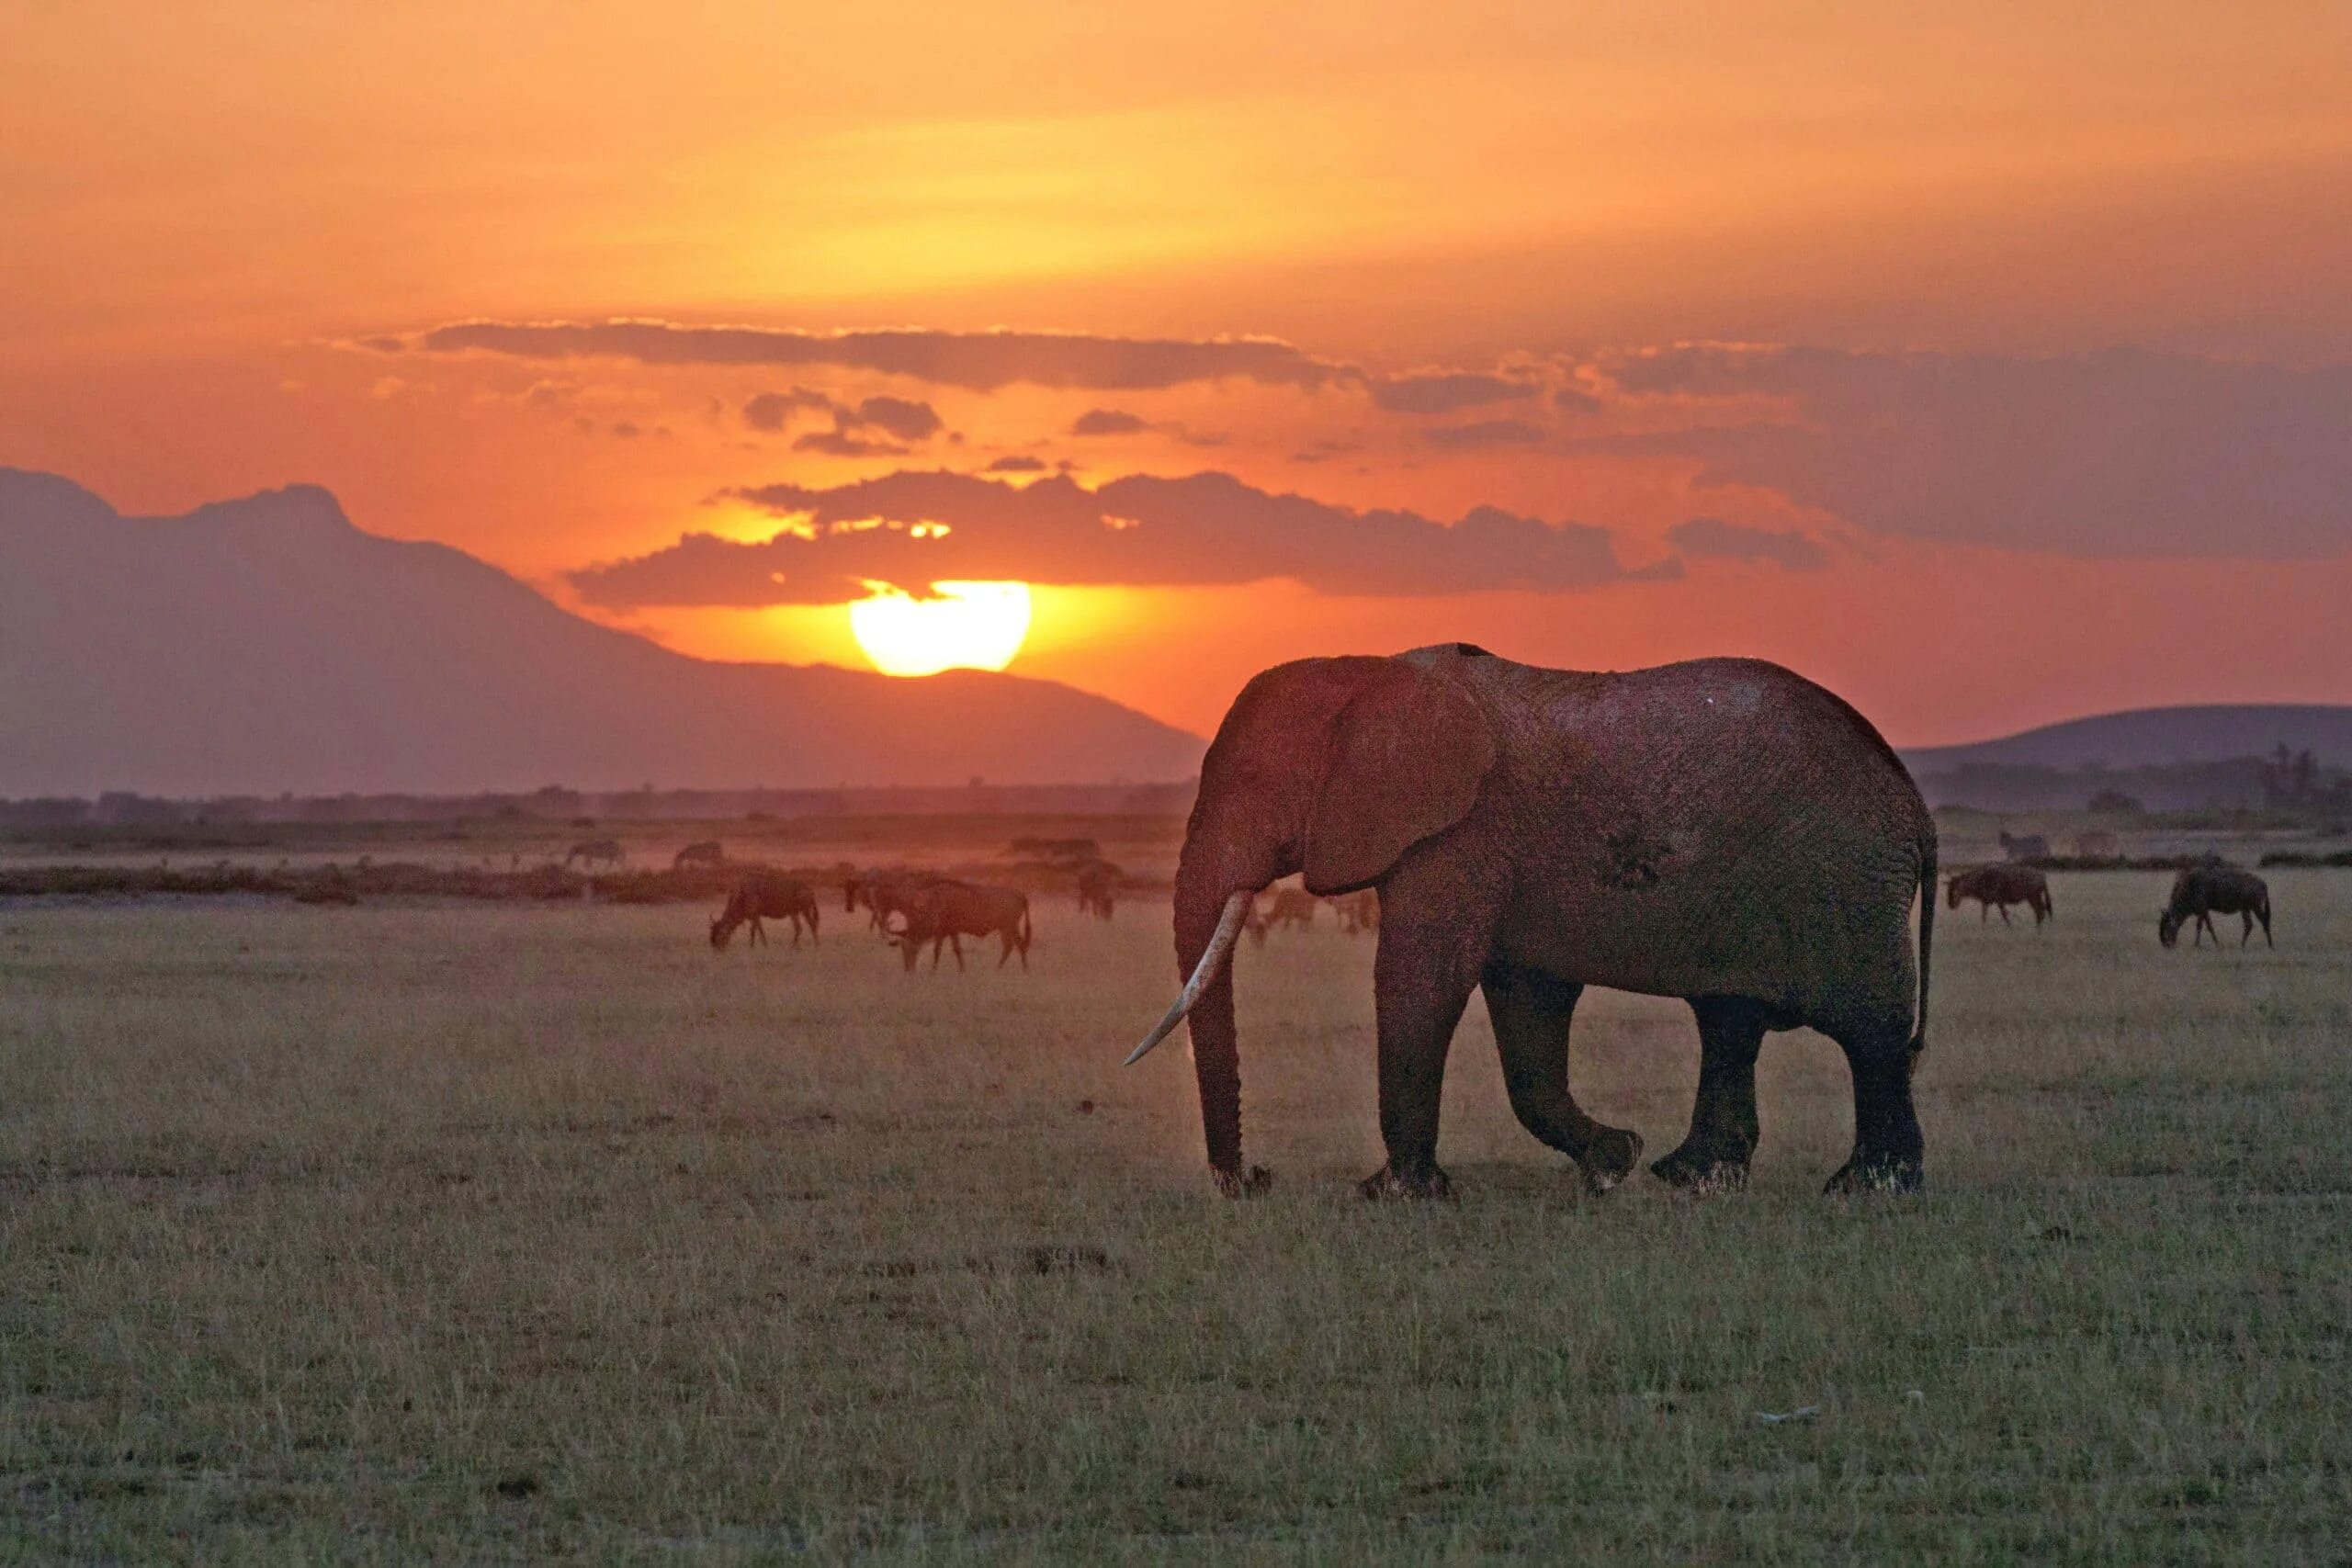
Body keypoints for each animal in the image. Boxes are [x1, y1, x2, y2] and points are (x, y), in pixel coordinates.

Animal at [1128, 649, 1938, 1203]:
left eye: (1250, 782)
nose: (1258, 1178)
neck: (1366, 670)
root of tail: (1914, 804)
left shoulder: (1458, 837)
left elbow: (1420, 984)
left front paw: (1395, 1195)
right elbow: (1527, 1009)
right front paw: (1613, 1161)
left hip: (1848, 880)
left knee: (1870, 1033)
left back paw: (1869, 1188)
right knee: (1731, 1022)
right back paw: (1688, 1176)